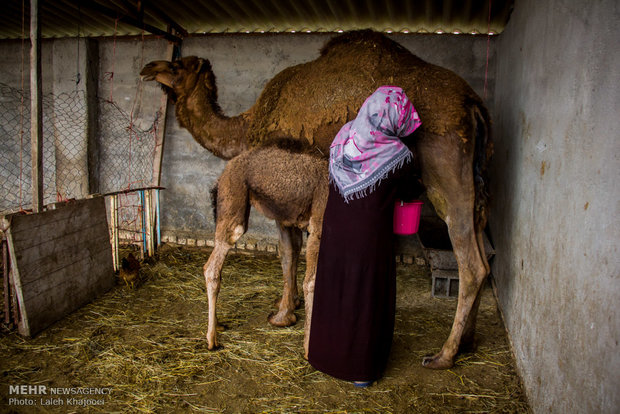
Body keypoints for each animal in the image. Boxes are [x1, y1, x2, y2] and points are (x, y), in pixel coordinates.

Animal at [203, 141, 330, 354]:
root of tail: (224, 172)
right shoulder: (318, 226)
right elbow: (311, 281)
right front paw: (307, 348)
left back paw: (218, 325)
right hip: (235, 202)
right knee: (212, 267)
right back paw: (212, 340)